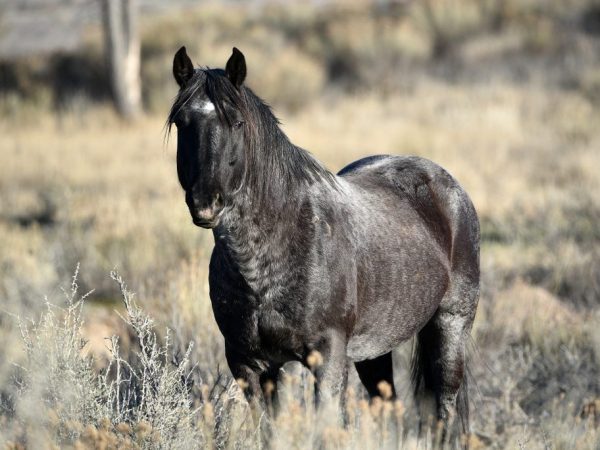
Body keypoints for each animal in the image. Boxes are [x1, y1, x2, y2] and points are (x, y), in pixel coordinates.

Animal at [171, 47, 480, 438]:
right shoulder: (249, 364)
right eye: (182, 123)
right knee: (389, 407)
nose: (205, 203)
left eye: (237, 123)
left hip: (450, 327)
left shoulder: (328, 358)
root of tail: (447, 184)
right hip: (375, 350)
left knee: (444, 410)